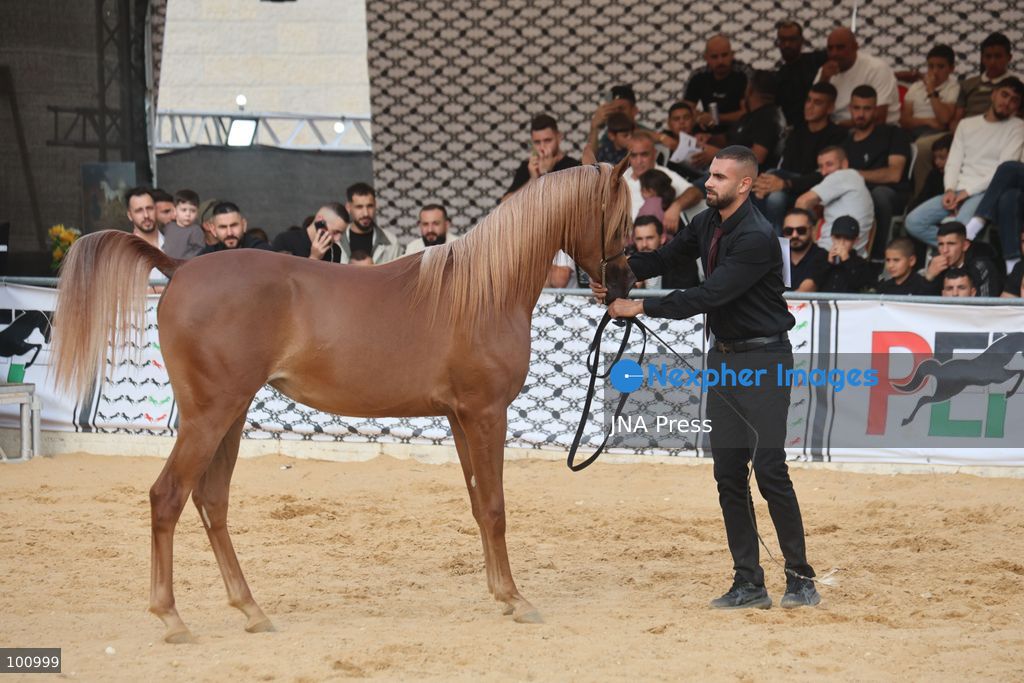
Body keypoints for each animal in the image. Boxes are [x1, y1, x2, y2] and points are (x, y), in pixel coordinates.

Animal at [50, 160, 636, 643]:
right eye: (620, 220)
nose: (628, 283)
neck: (484, 289)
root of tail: (181, 266)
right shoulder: (486, 414)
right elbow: (494, 508)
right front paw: (516, 598)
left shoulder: (460, 419)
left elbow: (477, 505)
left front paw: (500, 594)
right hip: (207, 418)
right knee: (167, 497)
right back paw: (172, 618)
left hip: (229, 416)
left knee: (212, 501)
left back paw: (252, 610)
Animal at [894, 332, 1024, 426]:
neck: (997, 358)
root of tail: (940, 369)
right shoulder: (1001, 377)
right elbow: (1020, 372)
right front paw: (1009, 393)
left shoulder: (1002, 375)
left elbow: (1019, 372)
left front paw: (1009, 393)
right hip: (945, 392)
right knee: (924, 399)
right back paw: (906, 421)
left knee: (924, 399)